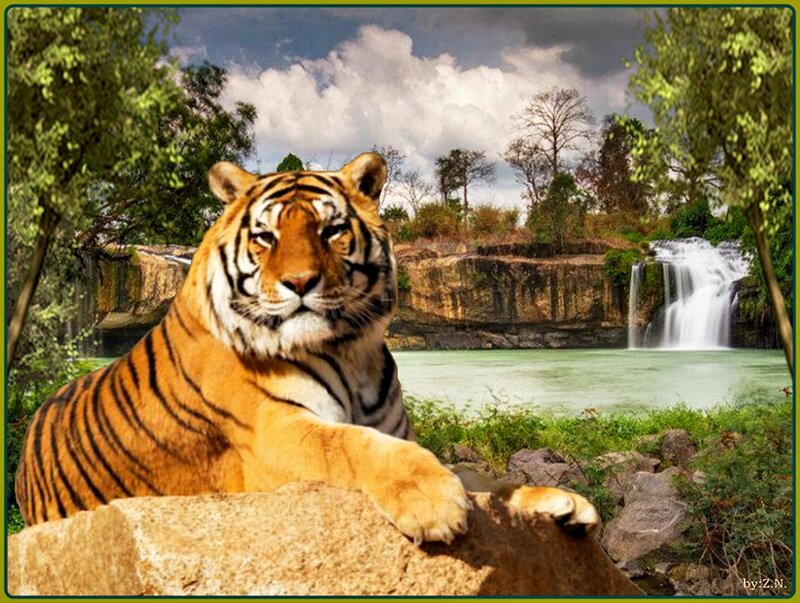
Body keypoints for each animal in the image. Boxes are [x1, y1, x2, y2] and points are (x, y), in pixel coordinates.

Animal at [14, 152, 599, 543]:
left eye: (331, 230)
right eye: (266, 237)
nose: (300, 282)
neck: (354, 352)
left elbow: (482, 477)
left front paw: (563, 503)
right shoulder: (274, 433)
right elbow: (353, 445)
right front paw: (432, 500)